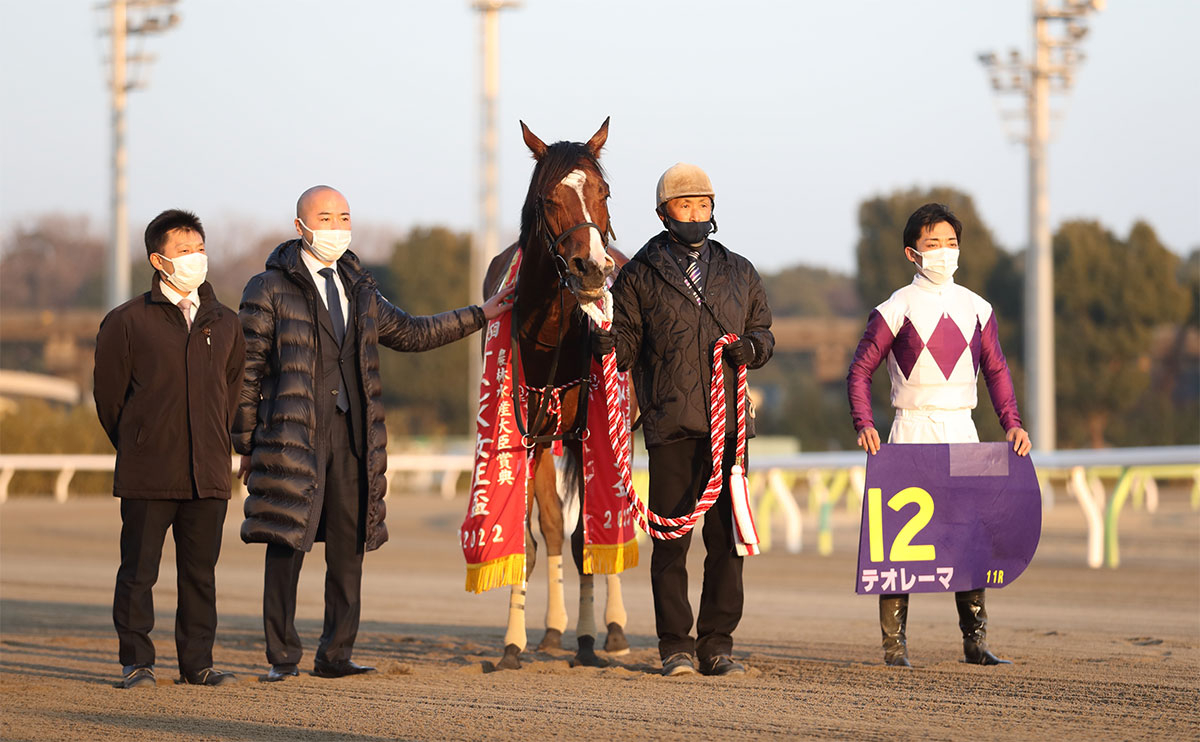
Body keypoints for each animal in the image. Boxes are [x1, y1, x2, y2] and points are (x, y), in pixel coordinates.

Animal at [482, 118, 633, 667]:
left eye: (603, 192)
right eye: (549, 199)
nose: (592, 268)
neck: (549, 334)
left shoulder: (587, 432)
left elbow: (588, 536)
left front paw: (590, 639)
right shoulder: (527, 436)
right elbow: (531, 537)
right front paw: (514, 640)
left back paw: (613, 628)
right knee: (548, 526)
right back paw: (548, 629)